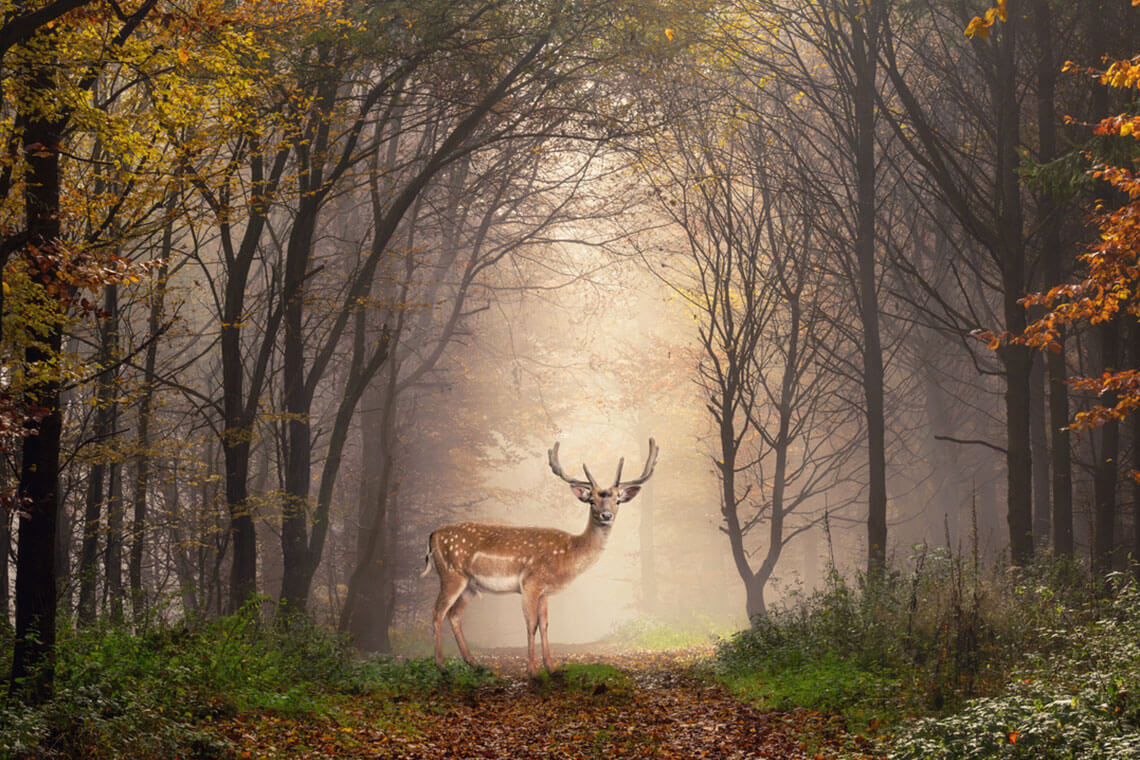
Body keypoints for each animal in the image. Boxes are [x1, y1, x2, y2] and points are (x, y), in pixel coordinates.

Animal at [419, 437, 656, 674]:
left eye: (618, 500)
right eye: (592, 501)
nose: (606, 515)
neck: (568, 554)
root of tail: (432, 535)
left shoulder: (544, 591)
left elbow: (545, 625)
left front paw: (550, 667)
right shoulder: (530, 583)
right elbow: (531, 625)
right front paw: (532, 671)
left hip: (469, 585)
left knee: (454, 615)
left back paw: (474, 663)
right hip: (451, 573)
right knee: (437, 611)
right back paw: (441, 665)